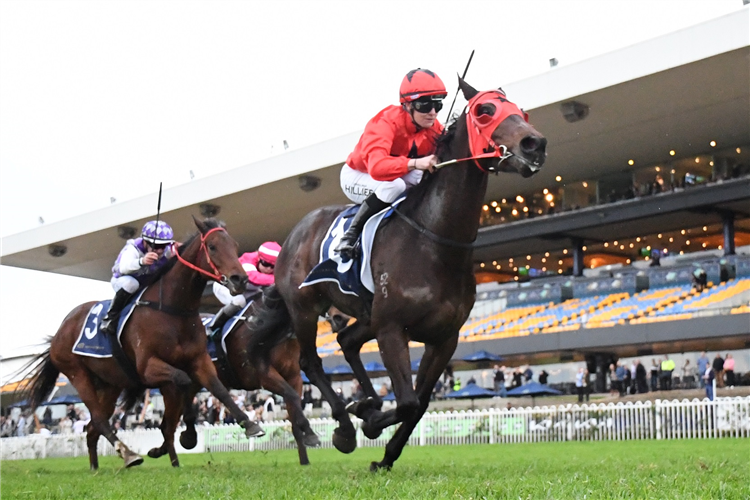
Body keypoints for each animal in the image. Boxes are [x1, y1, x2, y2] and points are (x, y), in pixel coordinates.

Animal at [24, 218, 264, 468]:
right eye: (213, 246)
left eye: (235, 246)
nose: (240, 280)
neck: (171, 309)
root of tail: (60, 331)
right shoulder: (148, 367)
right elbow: (184, 381)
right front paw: (189, 435)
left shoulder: (199, 360)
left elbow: (218, 389)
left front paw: (250, 425)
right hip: (77, 374)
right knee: (98, 419)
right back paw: (129, 454)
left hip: (110, 384)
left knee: (91, 428)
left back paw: (96, 467)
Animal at [250, 79, 548, 472]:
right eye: (486, 111)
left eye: (521, 110)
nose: (535, 144)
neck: (434, 241)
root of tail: (293, 233)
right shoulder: (393, 329)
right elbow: (406, 401)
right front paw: (370, 423)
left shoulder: (444, 338)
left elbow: (419, 404)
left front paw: (385, 452)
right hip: (305, 308)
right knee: (310, 361)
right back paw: (346, 427)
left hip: (366, 314)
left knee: (346, 341)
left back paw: (367, 402)